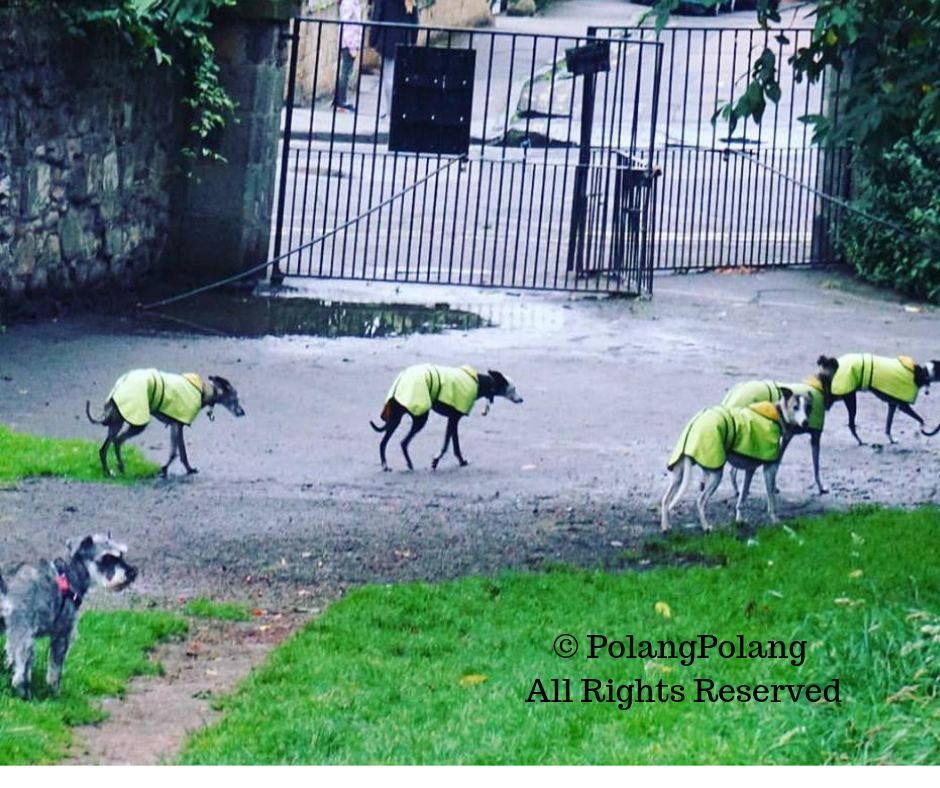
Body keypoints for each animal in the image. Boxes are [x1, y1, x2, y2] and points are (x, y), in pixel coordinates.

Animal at [0, 536, 138, 696]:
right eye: (107, 558)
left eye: (121, 555)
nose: (132, 572)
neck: (69, 575)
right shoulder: (63, 633)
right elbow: (55, 669)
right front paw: (54, 692)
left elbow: (10, 656)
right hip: (23, 634)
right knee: (22, 672)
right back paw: (25, 693)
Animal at [86, 368, 244, 478]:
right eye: (236, 398)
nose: (243, 413)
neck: (204, 391)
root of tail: (117, 389)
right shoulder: (176, 426)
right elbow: (175, 453)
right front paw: (165, 469)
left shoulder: (177, 425)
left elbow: (181, 453)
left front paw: (188, 469)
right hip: (137, 423)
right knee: (118, 441)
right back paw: (120, 467)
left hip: (117, 423)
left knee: (103, 449)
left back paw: (108, 472)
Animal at [370, 364, 524, 470]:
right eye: (514, 388)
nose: (522, 399)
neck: (480, 382)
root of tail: (400, 381)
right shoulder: (453, 419)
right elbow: (448, 445)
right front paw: (438, 460)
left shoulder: (452, 420)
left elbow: (453, 445)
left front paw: (459, 461)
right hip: (420, 418)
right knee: (403, 442)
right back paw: (404, 463)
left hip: (396, 419)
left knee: (384, 442)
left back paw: (386, 465)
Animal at [664, 390, 812, 532]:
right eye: (795, 407)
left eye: (808, 408)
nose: (805, 422)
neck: (778, 416)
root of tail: (695, 424)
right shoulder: (769, 471)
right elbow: (772, 501)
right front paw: (775, 521)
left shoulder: (750, 470)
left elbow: (742, 497)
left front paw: (739, 520)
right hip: (715, 476)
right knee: (700, 501)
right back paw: (706, 527)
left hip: (681, 474)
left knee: (666, 500)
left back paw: (665, 527)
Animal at [720, 356, 836, 492]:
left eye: (808, 408)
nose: (805, 422)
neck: (816, 384)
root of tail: (734, 392)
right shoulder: (810, 437)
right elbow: (815, 466)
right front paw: (820, 487)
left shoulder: (786, 438)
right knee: (734, 471)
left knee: (733, 470)